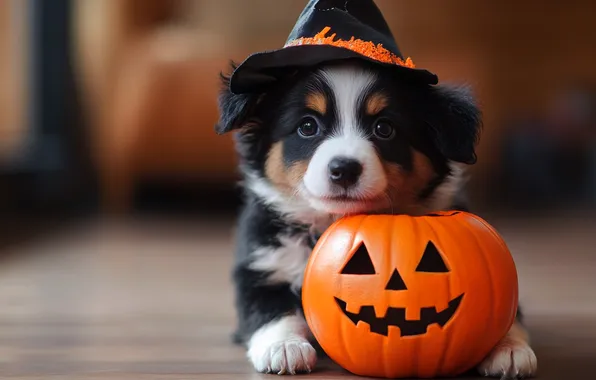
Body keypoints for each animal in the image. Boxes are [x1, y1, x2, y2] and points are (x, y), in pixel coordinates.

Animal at [214, 58, 536, 378]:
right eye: (307, 126)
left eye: (384, 128)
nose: (343, 169)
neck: (332, 221)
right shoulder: (262, 265)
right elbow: (270, 310)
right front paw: (284, 346)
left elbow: (507, 312)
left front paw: (509, 349)